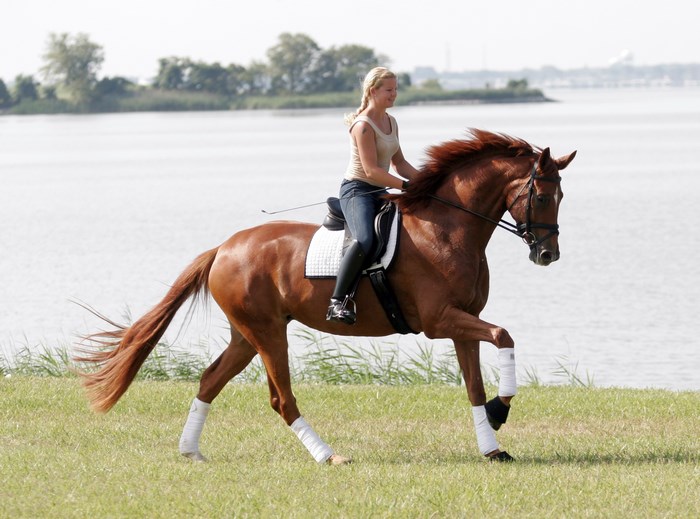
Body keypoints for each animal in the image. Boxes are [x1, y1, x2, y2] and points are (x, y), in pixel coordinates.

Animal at [76, 129, 576, 464]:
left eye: (561, 197)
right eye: (542, 196)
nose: (548, 254)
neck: (449, 230)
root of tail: (223, 247)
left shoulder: (462, 323)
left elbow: (475, 383)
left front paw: (493, 441)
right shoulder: (441, 321)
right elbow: (505, 335)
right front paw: (500, 411)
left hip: (247, 334)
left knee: (209, 380)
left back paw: (190, 451)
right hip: (267, 334)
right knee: (281, 399)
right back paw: (328, 455)